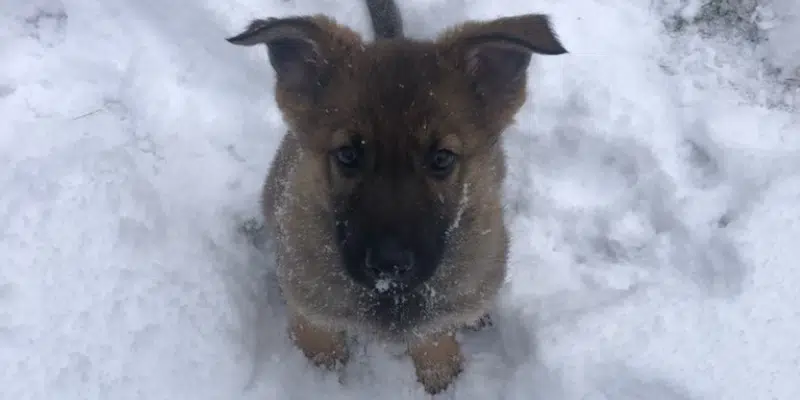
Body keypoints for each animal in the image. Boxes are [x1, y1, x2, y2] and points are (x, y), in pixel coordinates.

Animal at [222, 0, 564, 394]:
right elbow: (321, 351)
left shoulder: (439, 319)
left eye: (442, 158)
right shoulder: (313, 313)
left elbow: (435, 348)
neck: (390, 297)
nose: (389, 264)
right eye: (347, 155)